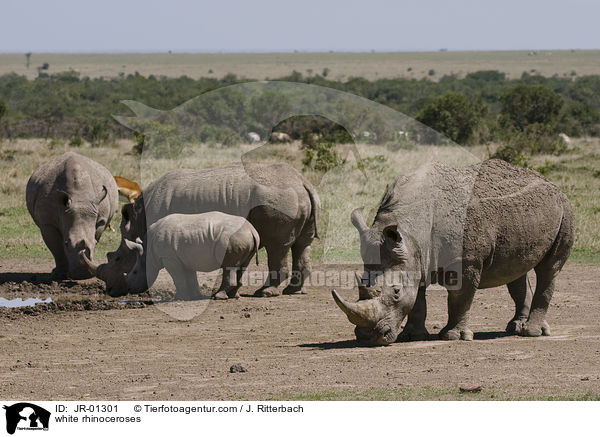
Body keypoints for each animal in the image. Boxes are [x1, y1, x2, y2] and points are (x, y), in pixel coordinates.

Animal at [87, 212, 260, 300]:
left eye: (134, 272)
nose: (129, 289)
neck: (147, 253)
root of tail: (252, 230)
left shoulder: (169, 258)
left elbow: (178, 278)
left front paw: (178, 298)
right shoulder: (185, 257)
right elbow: (190, 277)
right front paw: (194, 296)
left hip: (232, 238)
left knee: (228, 265)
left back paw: (219, 297)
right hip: (243, 237)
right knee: (241, 265)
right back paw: (234, 296)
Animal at [336, 158, 576, 346]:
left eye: (395, 292)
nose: (367, 338)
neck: (411, 230)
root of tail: (554, 186)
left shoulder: (465, 260)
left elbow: (460, 297)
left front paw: (453, 336)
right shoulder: (416, 256)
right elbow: (417, 300)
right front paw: (413, 337)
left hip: (565, 210)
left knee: (549, 269)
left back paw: (532, 332)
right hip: (523, 217)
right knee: (515, 269)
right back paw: (517, 327)